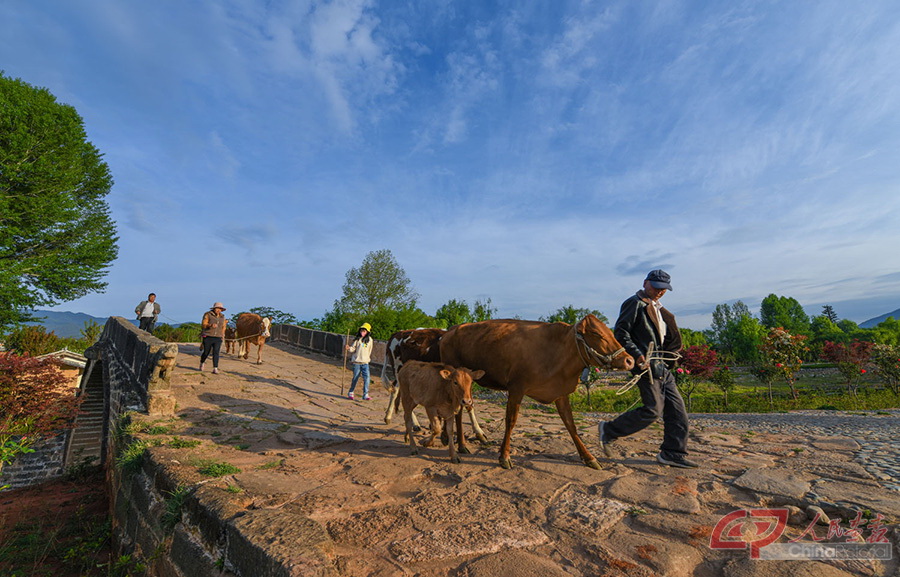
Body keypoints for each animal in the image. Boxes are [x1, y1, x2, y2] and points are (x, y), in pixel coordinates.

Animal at [440, 316, 636, 468]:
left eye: (611, 333)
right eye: (597, 334)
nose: (629, 360)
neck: (556, 351)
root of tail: (449, 331)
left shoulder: (560, 392)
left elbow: (570, 424)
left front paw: (589, 458)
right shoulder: (516, 388)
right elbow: (511, 421)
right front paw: (504, 456)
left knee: (461, 408)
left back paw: (456, 441)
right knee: (455, 409)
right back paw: (458, 443)